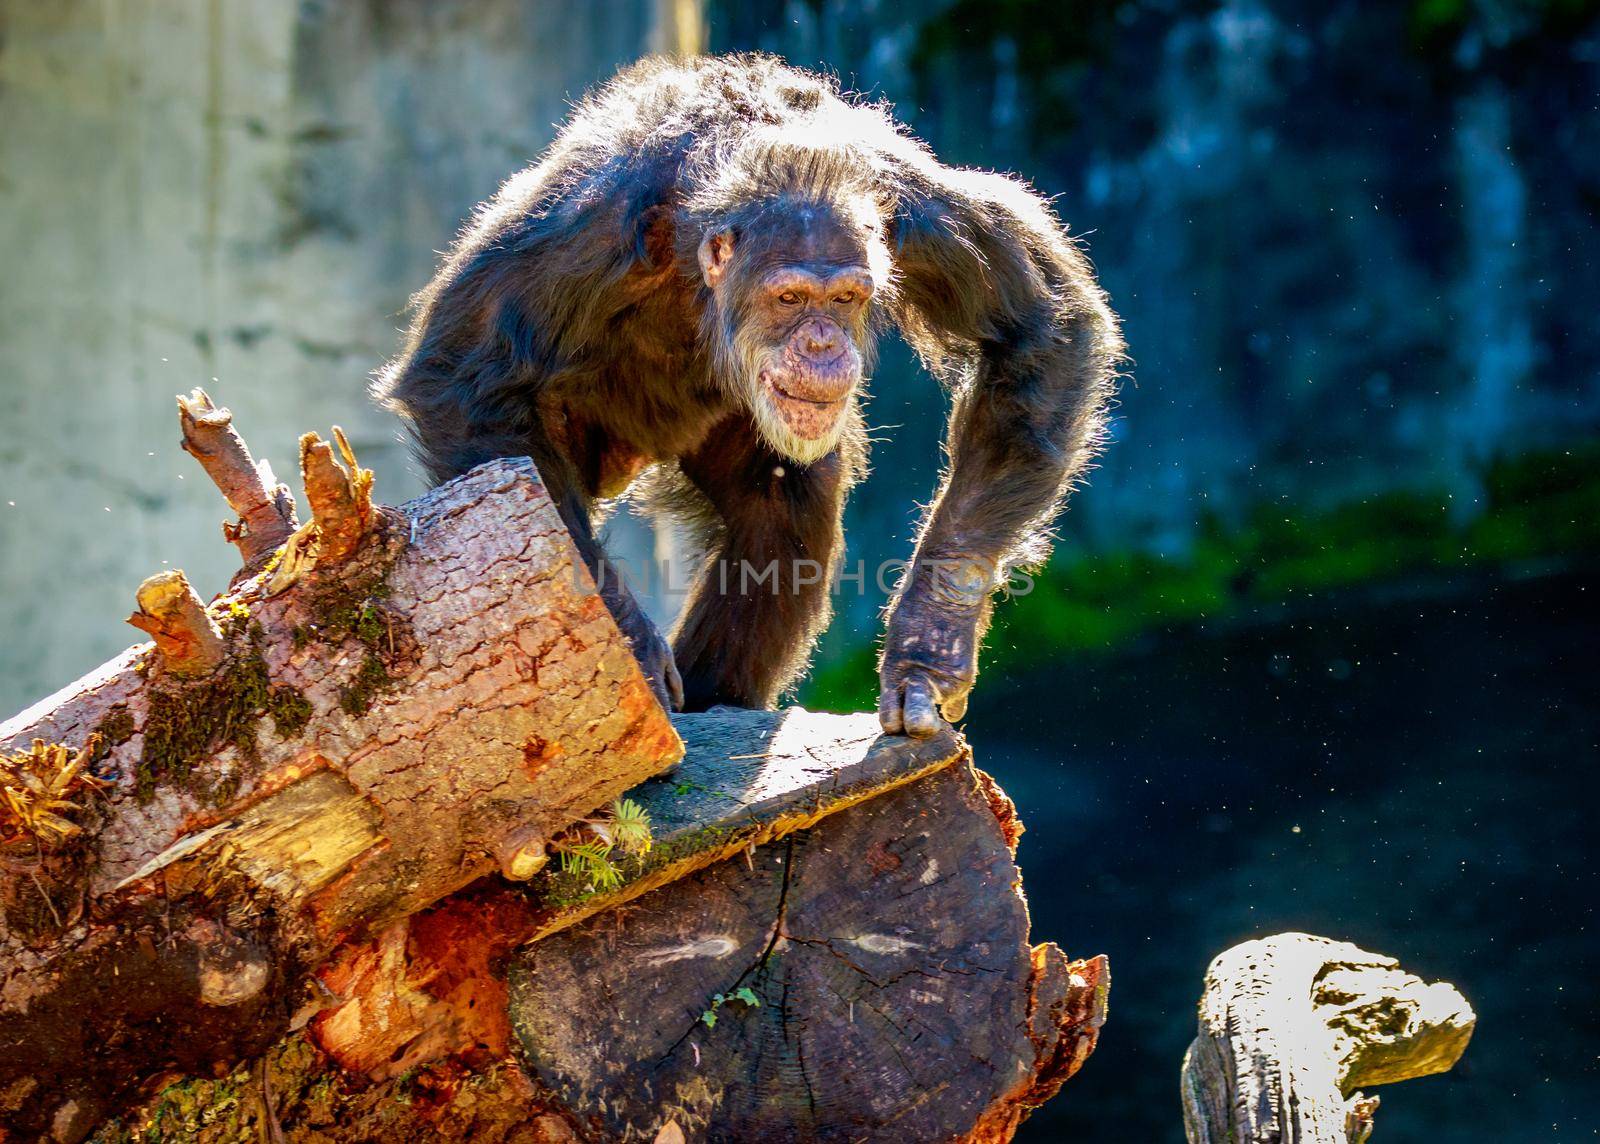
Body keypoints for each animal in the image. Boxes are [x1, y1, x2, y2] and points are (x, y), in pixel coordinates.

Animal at [377, 53, 1126, 739]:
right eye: (789, 298)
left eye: (844, 298)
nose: (821, 342)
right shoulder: (577, 233)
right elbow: (463, 374)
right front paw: (628, 646)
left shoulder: (918, 213)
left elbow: (1038, 327)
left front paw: (930, 641)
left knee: (782, 507)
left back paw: (722, 703)